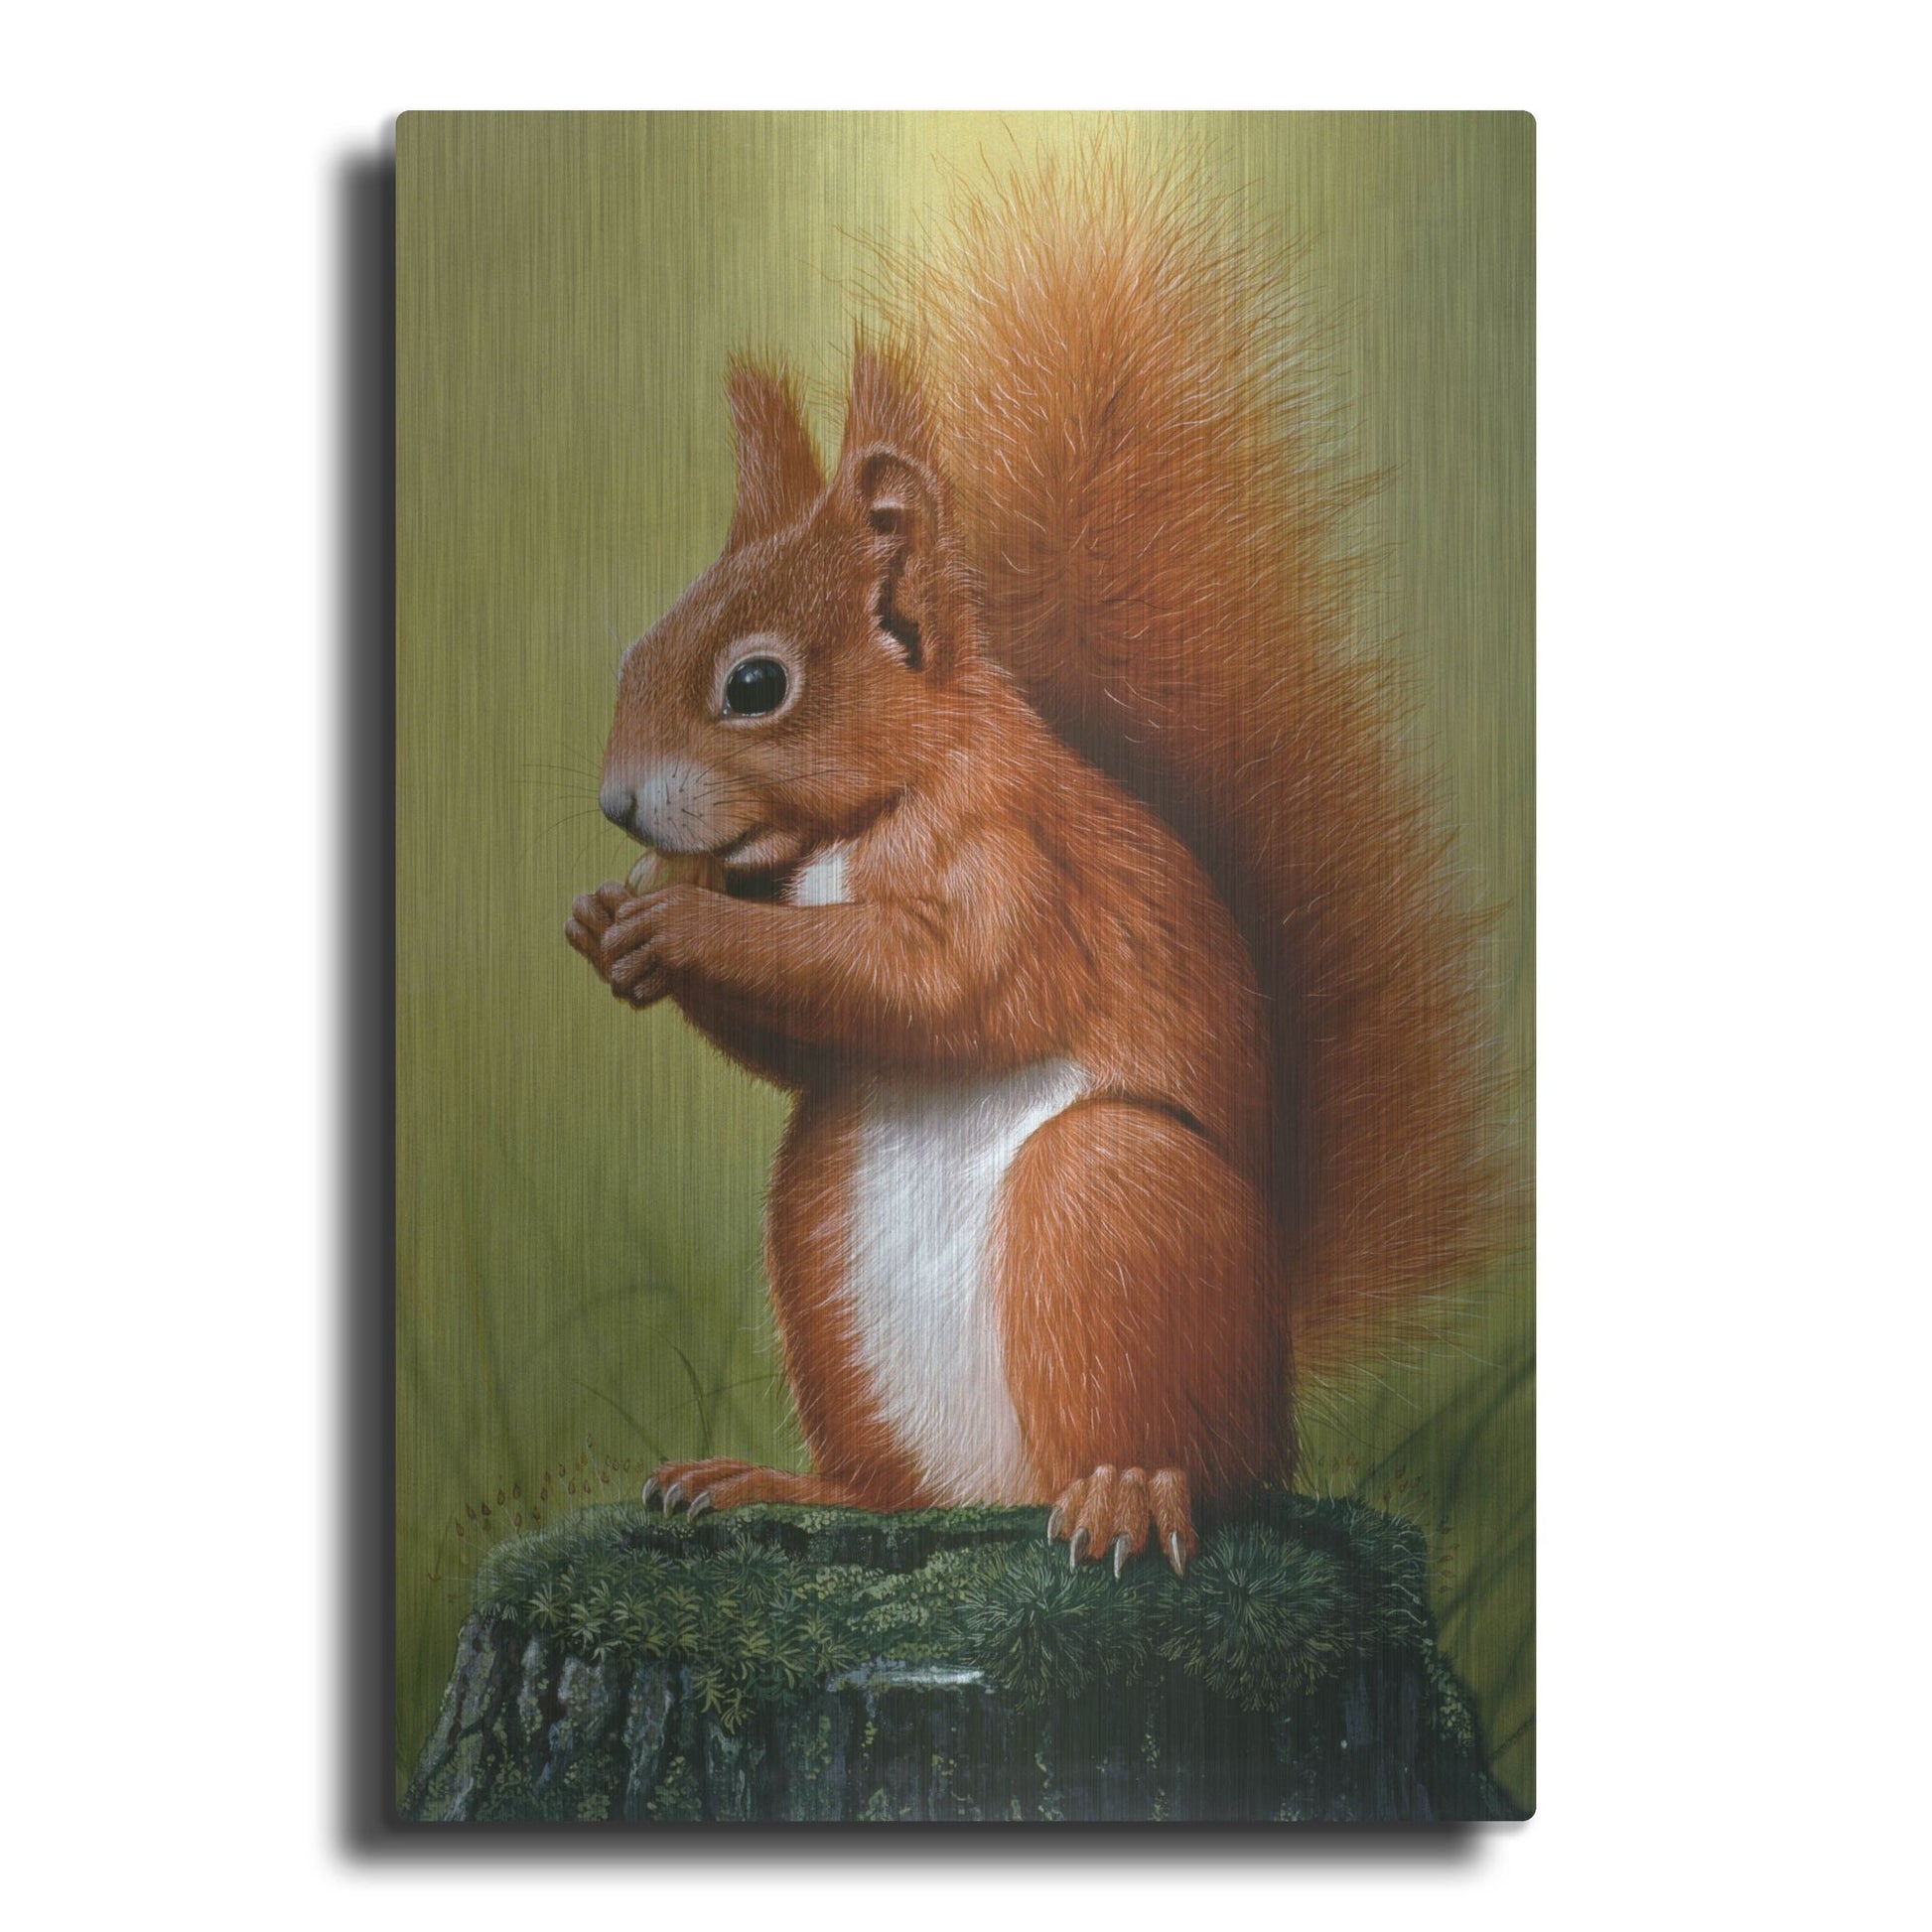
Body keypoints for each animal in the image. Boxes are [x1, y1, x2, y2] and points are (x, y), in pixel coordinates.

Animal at [565, 153, 1493, 1576]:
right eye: (636, 648)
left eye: (755, 685)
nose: (615, 805)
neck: (861, 820)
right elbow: (809, 1039)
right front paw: (611, 922)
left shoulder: (1016, 864)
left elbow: (943, 980)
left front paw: (682, 928)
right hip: (818, 1240)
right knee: (897, 1491)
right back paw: (782, 1481)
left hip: (1109, 1204)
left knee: (1185, 1453)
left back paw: (1128, 1491)